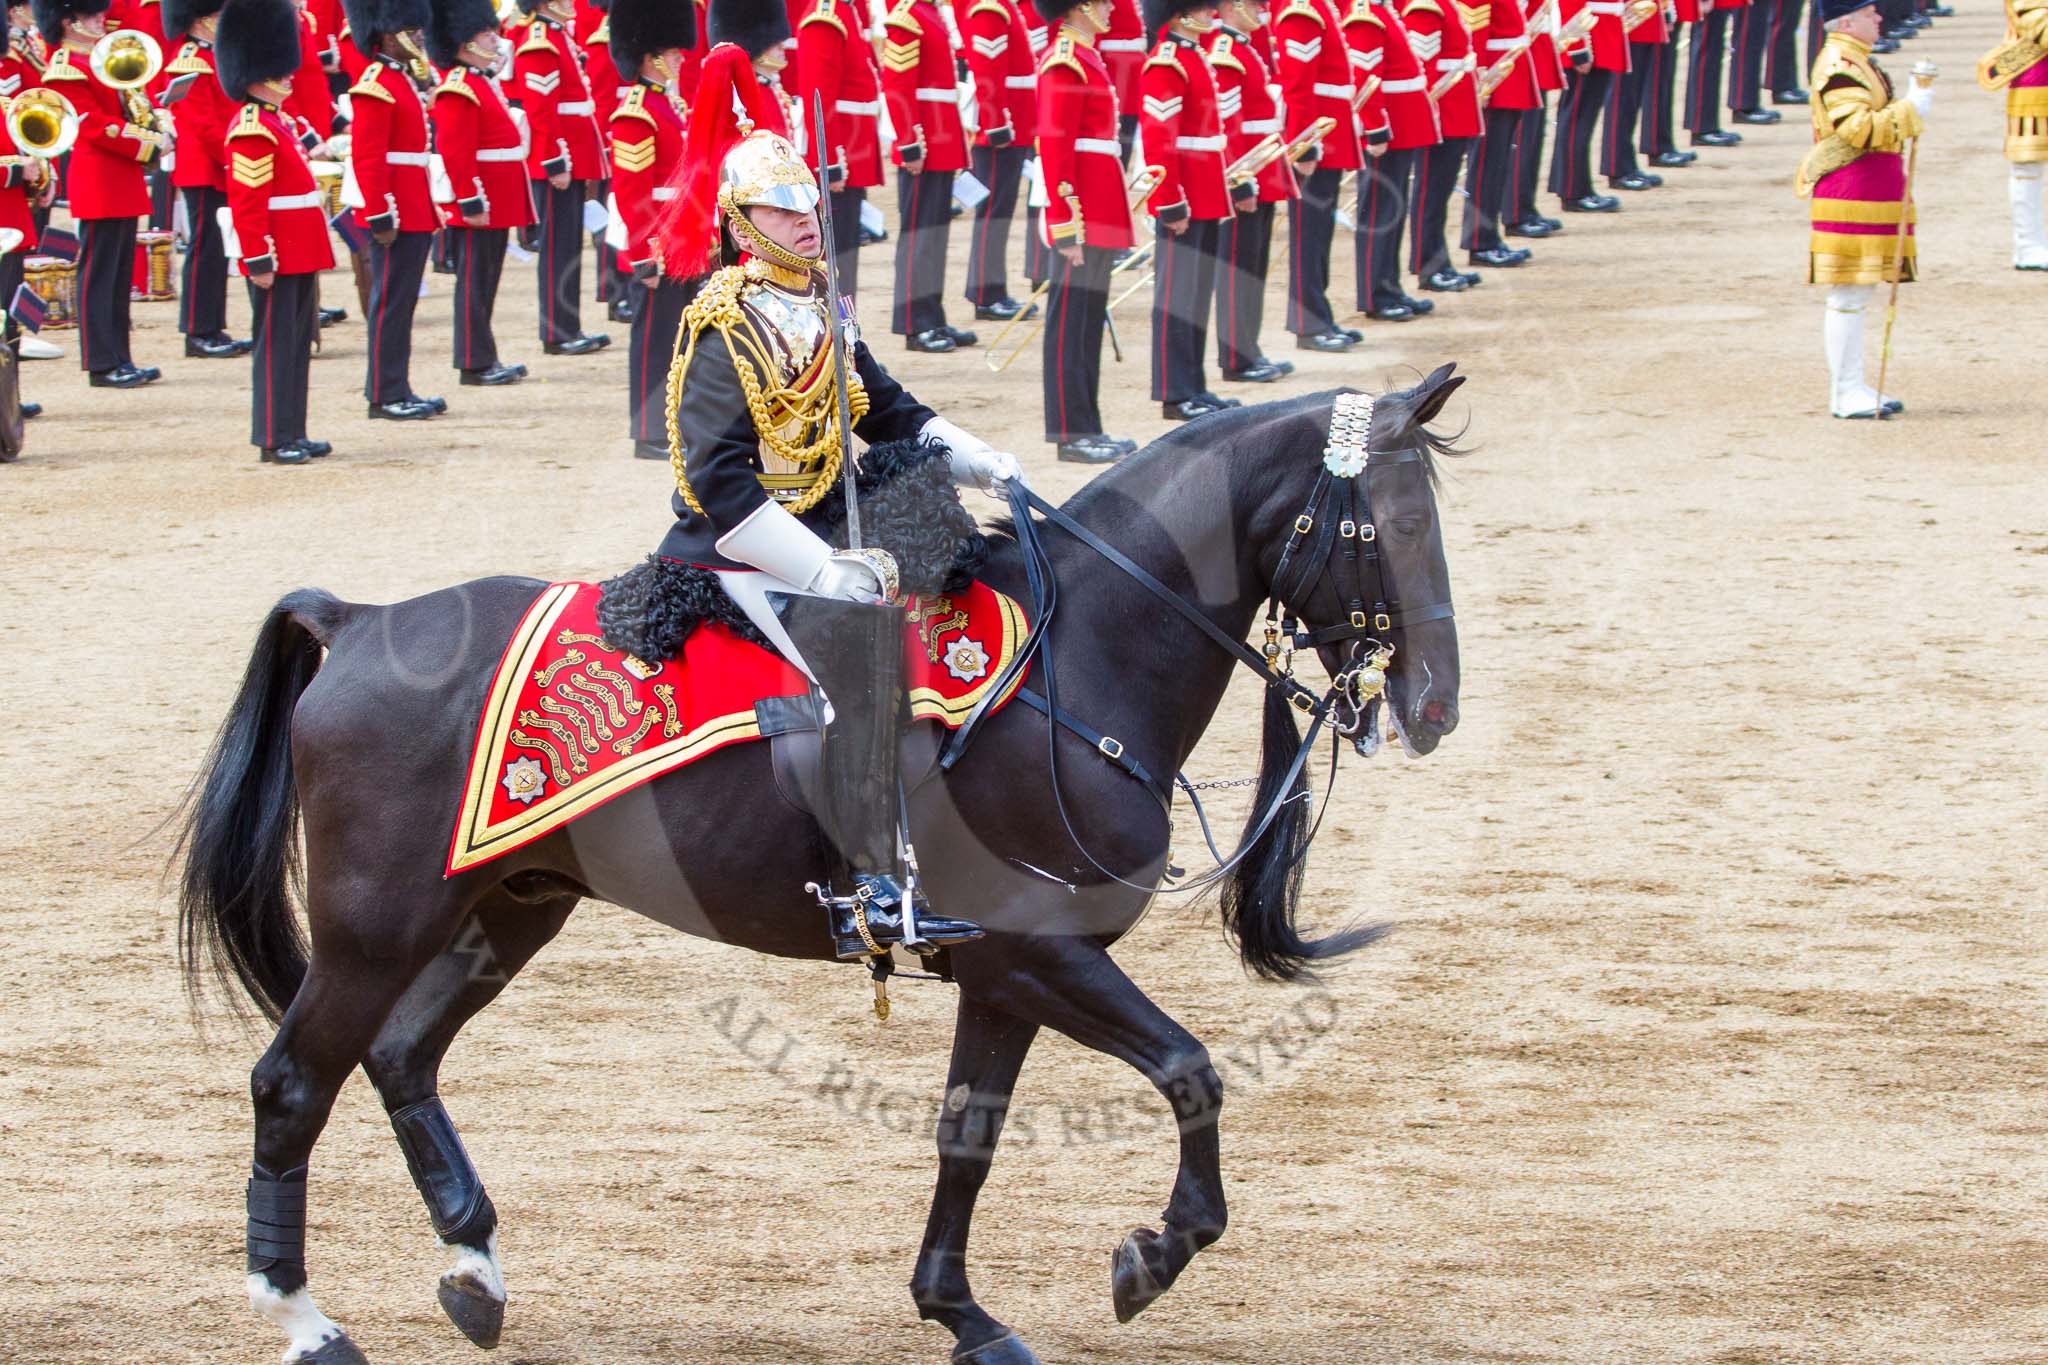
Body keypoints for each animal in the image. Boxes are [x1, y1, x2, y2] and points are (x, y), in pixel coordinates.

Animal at [172, 374, 1458, 1365]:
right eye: (1375, 531)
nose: (1434, 705)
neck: (1071, 665)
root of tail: (358, 618)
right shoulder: (1037, 954)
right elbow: (1191, 1072)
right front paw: (1150, 1254)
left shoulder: (1003, 973)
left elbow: (966, 1135)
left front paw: (959, 1312)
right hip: (372, 928)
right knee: (291, 1084)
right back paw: (306, 1321)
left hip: (508, 905)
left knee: (400, 1052)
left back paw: (473, 1265)